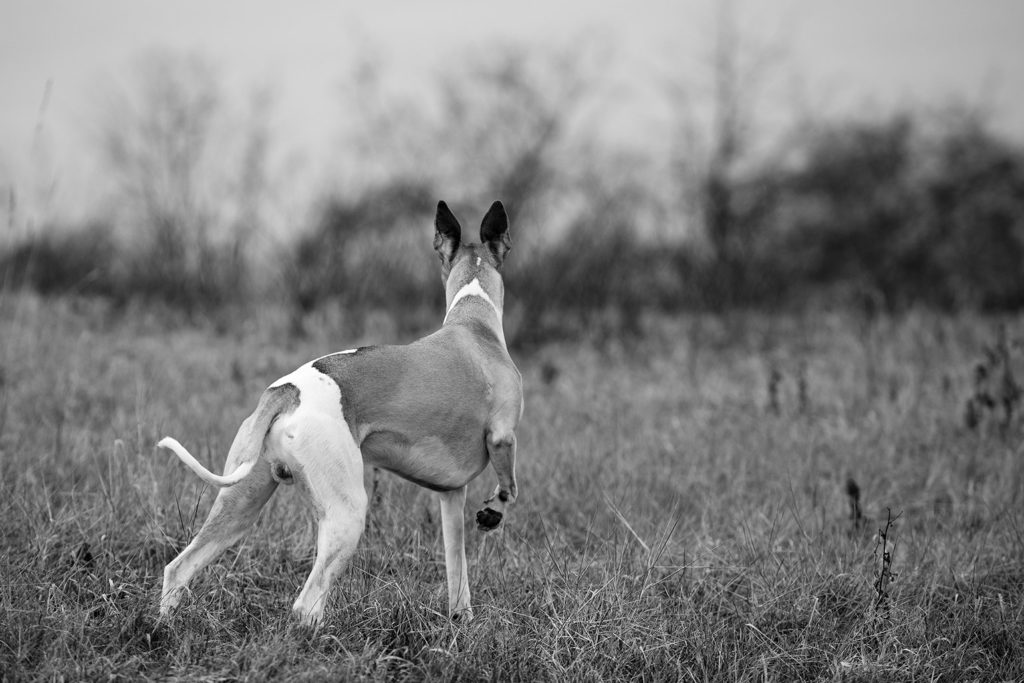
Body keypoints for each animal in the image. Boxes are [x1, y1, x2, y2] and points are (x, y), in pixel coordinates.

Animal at [155, 200, 524, 626]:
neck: (474, 318)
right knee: (306, 603)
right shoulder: (502, 438)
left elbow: (456, 573)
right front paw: (493, 512)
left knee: (179, 567)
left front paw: (460, 620)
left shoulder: (450, 495)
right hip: (347, 516)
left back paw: (161, 627)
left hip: (239, 506)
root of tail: (285, 392)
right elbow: (509, 487)